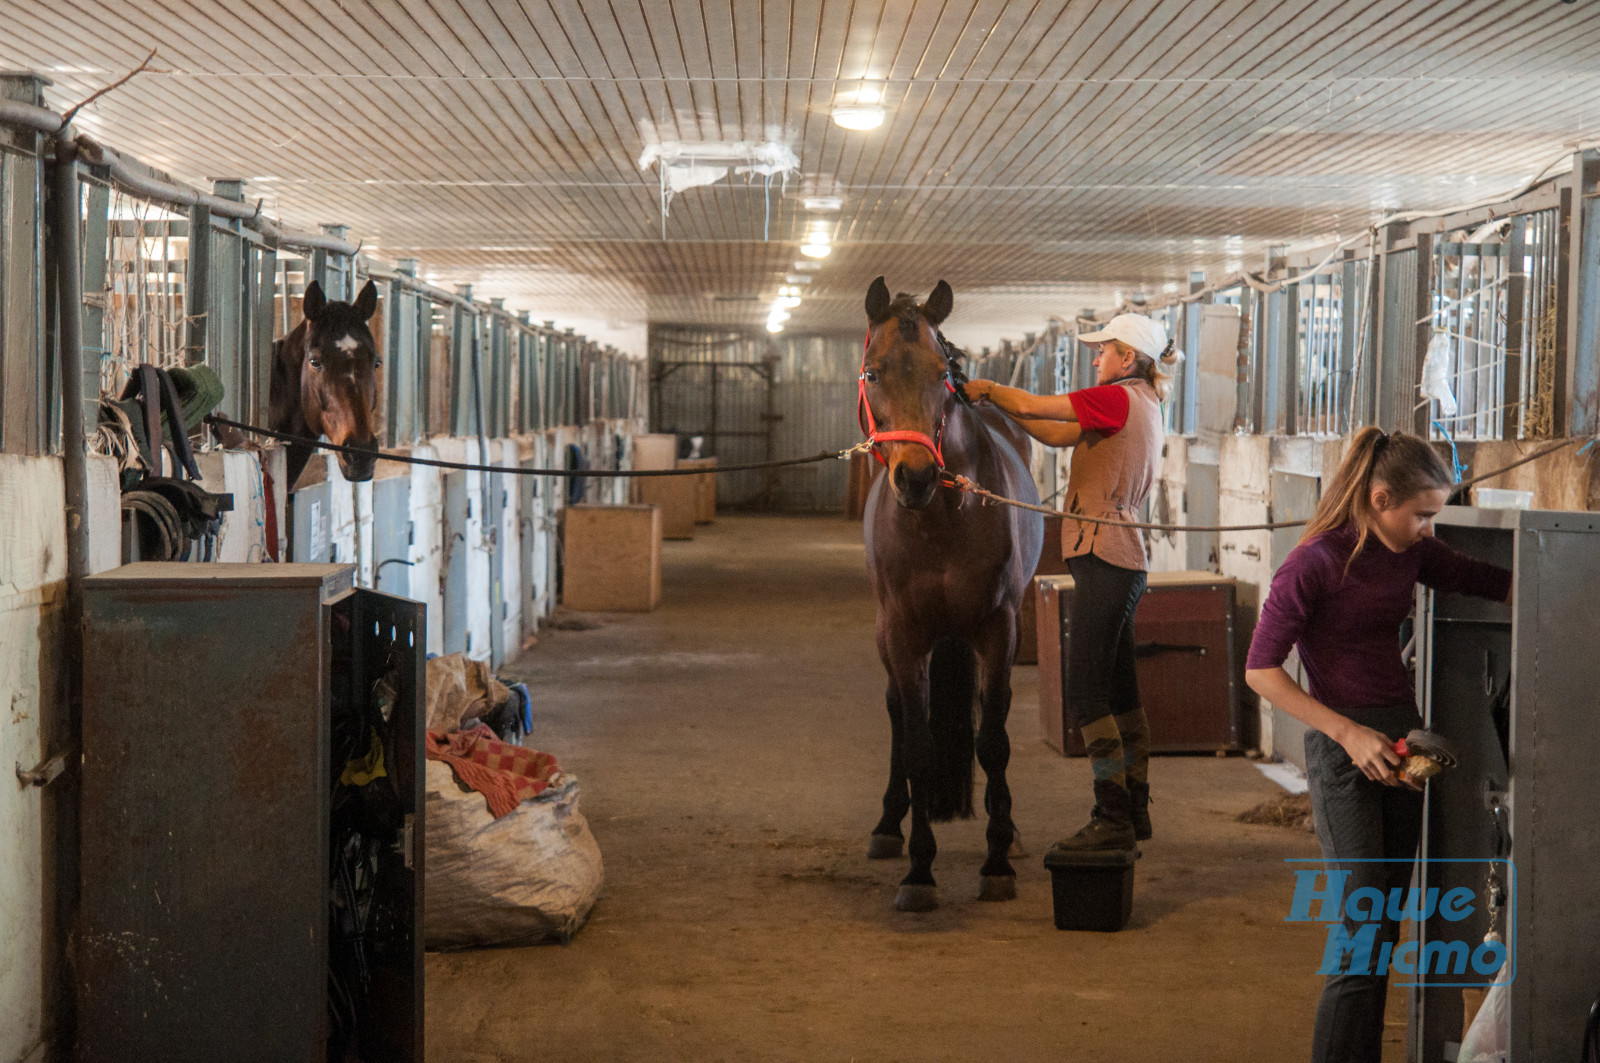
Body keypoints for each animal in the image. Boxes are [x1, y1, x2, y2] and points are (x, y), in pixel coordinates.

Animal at [864, 275, 1049, 915]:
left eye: (942, 372)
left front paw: (997, 862)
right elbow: (918, 745)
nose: (916, 476)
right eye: (873, 372)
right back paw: (886, 827)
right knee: (896, 713)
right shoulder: (903, 635)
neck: (943, 515)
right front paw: (919, 871)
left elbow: (992, 742)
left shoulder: (997, 630)